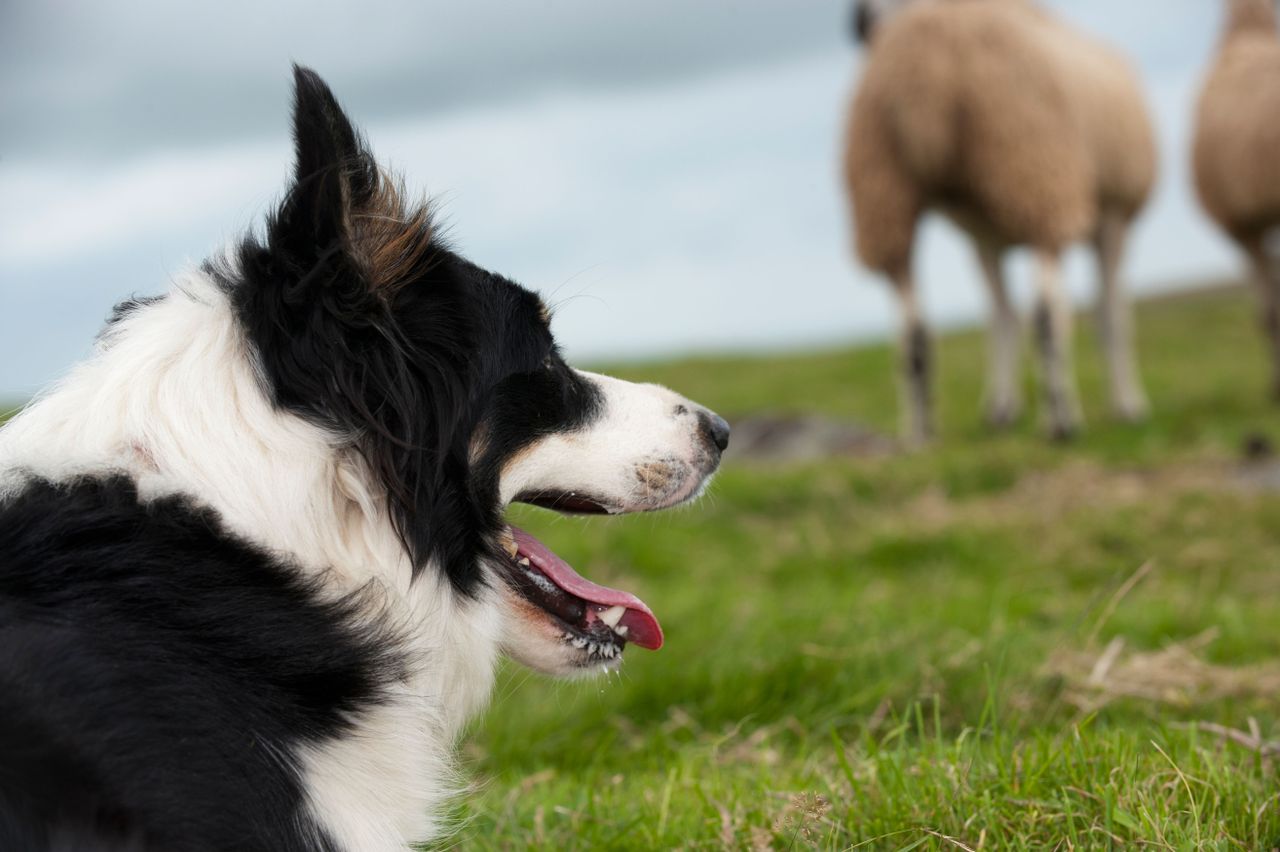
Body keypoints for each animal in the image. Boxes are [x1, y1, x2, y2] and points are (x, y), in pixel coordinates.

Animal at [844, 0, 1157, 437]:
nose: (861, 23)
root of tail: (922, 70)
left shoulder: (984, 236)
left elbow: (1000, 320)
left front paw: (1001, 409)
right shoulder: (1114, 217)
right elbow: (1111, 316)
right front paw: (1128, 405)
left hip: (883, 193)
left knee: (913, 328)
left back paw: (920, 432)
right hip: (1037, 173)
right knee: (1047, 312)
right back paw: (1061, 421)